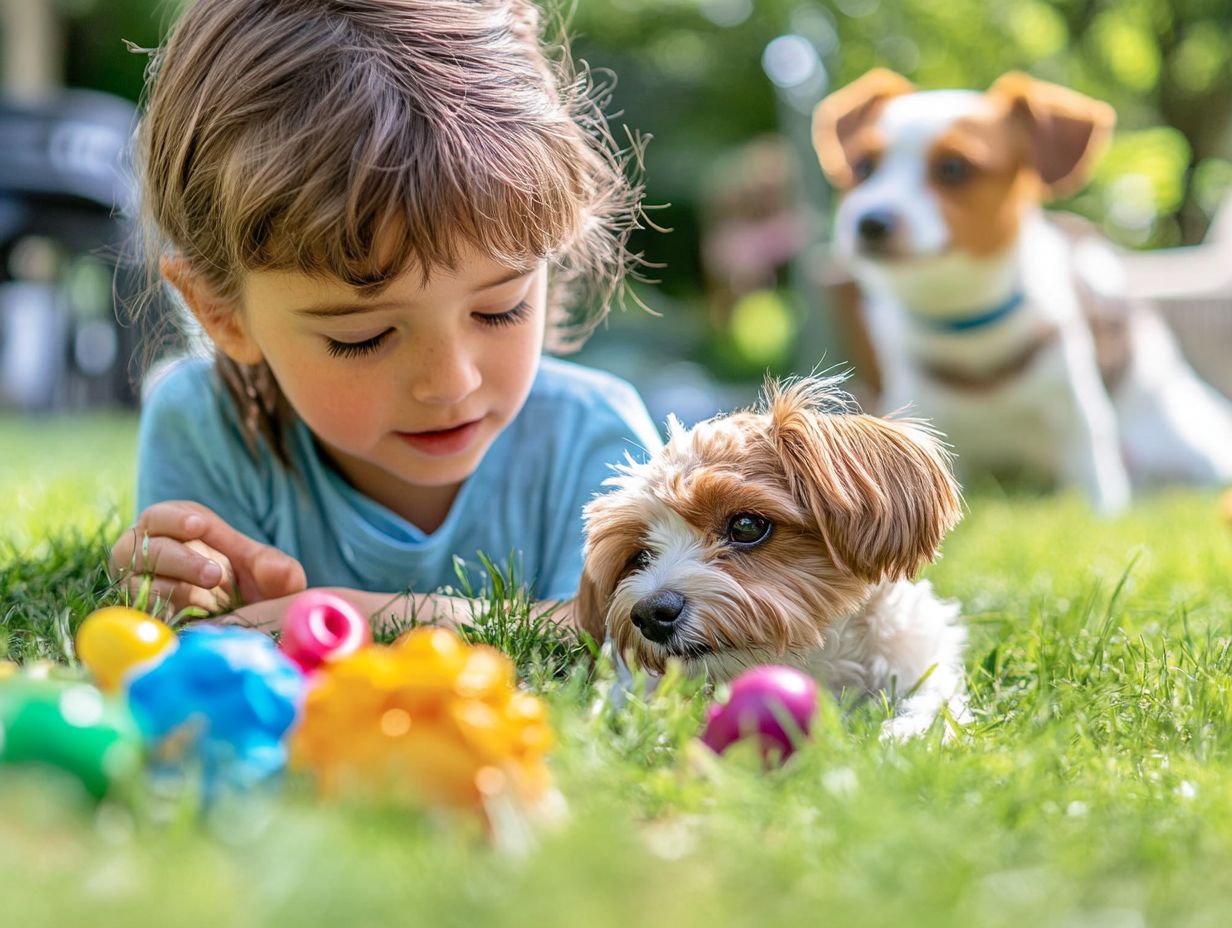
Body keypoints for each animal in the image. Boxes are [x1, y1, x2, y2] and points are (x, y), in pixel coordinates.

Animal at [576, 377, 970, 739]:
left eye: (747, 525)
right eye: (641, 556)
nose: (650, 612)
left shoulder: (919, 664)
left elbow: (933, 703)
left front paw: (908, 733)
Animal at [808, 68, 1232, 510]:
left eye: (953, 168)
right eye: (863, 166)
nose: (870, 222)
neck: (962, 320)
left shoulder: (1078, 420)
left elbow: (1098, 497)